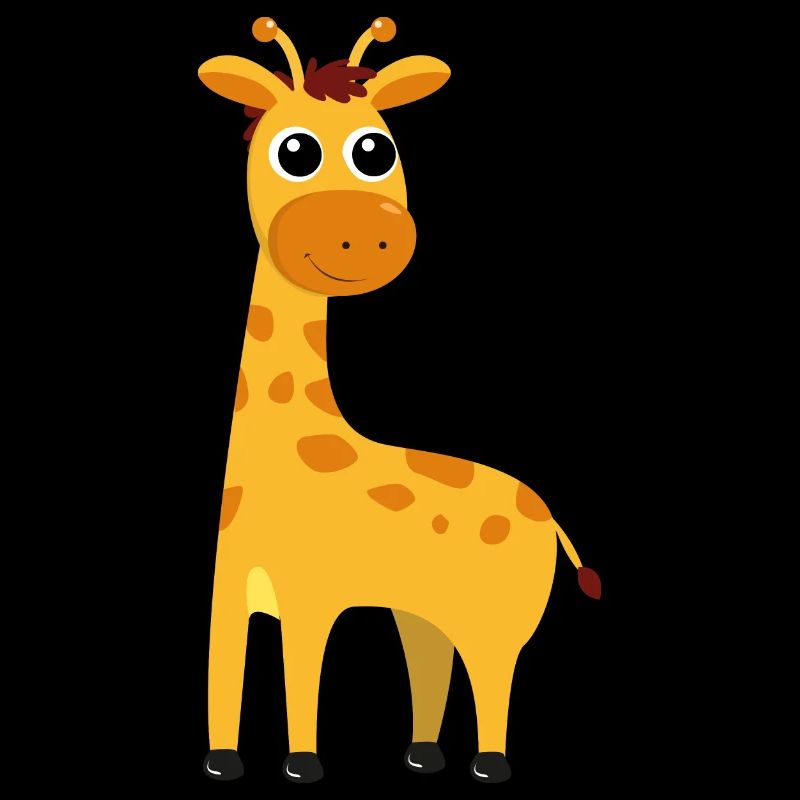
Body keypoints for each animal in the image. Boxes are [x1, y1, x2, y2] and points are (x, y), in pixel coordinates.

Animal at [198, 16, 601, 785]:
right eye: (294, 151)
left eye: (375, 150)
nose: (368, 233)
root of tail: (553, 519)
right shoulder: (231, 592)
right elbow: (222, 675)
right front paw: (222, 764)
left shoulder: (311, 593)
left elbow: (301, 676)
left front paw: (302, 766)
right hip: (423, 608)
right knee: (432, 664)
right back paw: (421, 756)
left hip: (500, 614)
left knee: (493, 675)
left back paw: (489, 766)